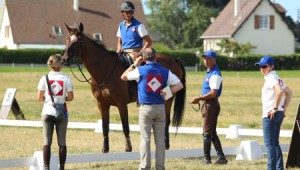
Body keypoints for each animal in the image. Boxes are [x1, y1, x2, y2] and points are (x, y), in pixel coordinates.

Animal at [62, 22, 185, 153]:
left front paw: (128, 148)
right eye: (67, 39)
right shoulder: (102, 104)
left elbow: (125, 126)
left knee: (166, 121)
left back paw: (165, 145)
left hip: (167, 100)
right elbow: (105, 126)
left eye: (77, 41)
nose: (64, 59)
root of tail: (174, 59)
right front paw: (105, 148)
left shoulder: (121, 104)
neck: (106, 71)